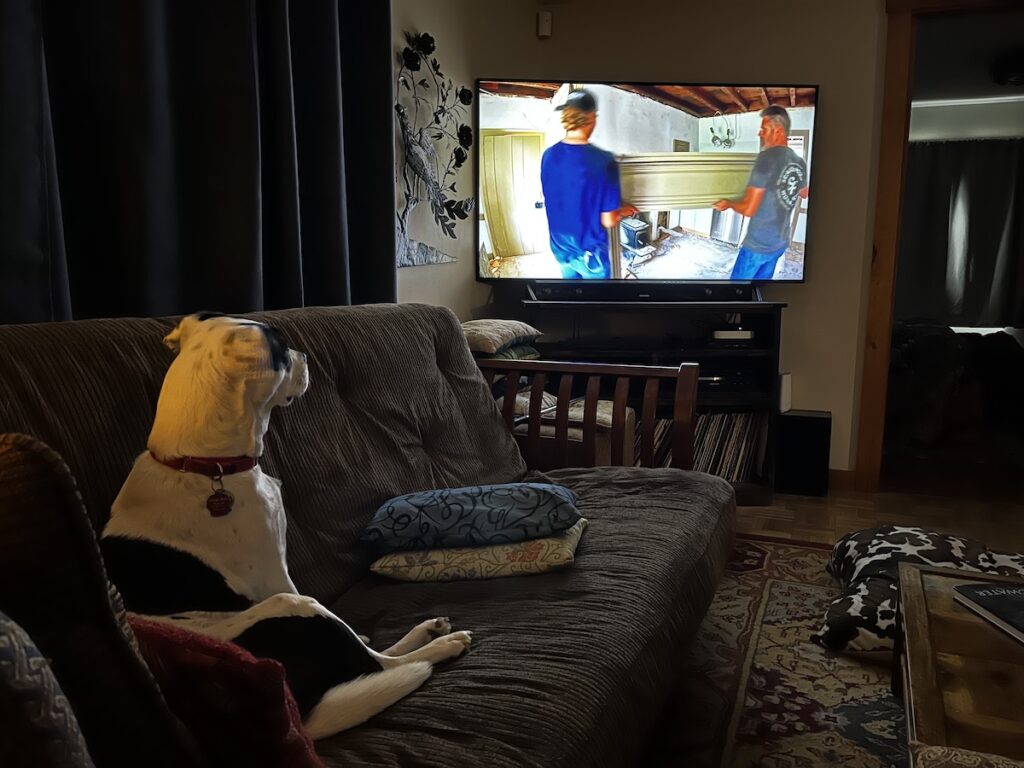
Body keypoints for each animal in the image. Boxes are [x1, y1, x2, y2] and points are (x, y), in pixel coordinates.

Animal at [99, 313, 471, 741]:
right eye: (281, 350)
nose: (305, 355)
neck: (201, 465)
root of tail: (299, 712)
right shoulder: (276, 577)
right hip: (296, 606)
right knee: (382, 664)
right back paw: (438, 644)